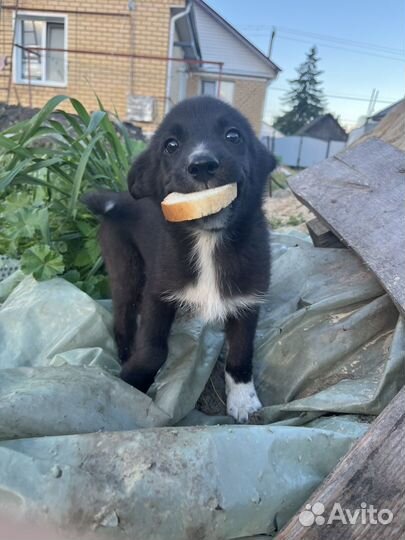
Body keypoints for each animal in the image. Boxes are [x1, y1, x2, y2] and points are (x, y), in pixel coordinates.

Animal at [83, 98, 276, 426]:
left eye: (233, 136)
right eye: (171, 145)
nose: (202, 165)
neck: (208, 242)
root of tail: (118, 200)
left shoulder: (247, 301)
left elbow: (241, 352)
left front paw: (243, 399)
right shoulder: (157, 294)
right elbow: (153, 349)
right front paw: (130, 383)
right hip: (126, 270)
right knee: (121, 317)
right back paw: (124, 353)